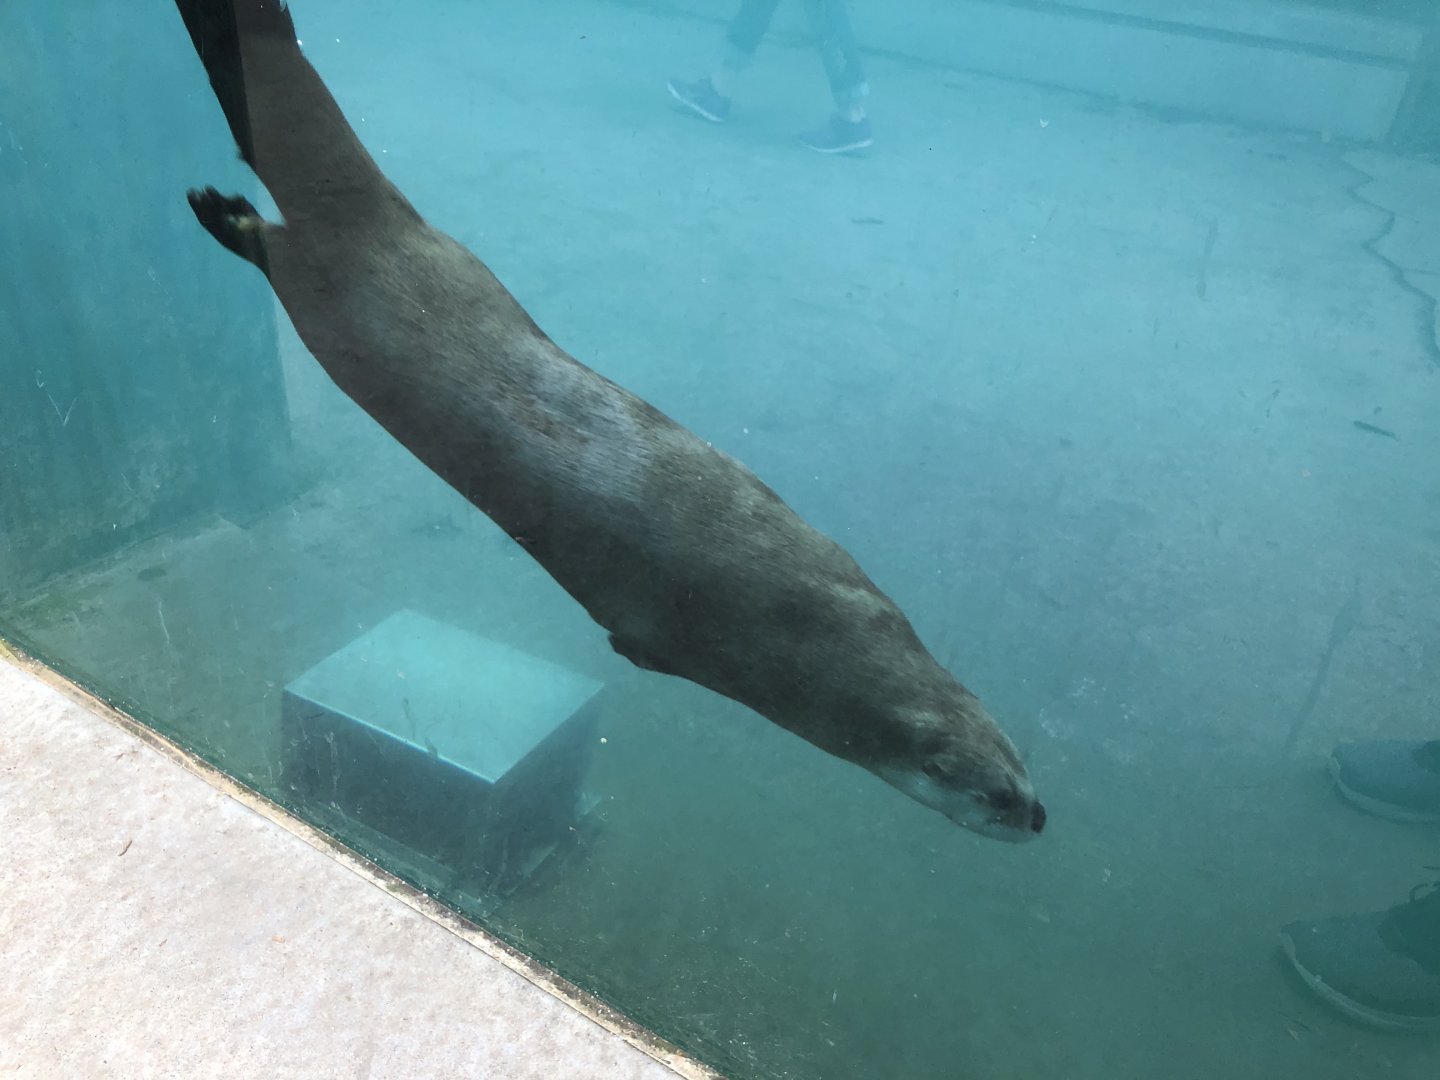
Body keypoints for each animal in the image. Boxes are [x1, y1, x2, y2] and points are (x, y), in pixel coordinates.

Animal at [171, 0, 1045, 841]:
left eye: (1022, 765)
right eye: (995, 794)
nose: (1039, 818)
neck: (820, 628)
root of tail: (375, 226)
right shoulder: (703, 648)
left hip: (450, 260)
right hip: (323, 303)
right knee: (275, 250)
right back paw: (224, 215)